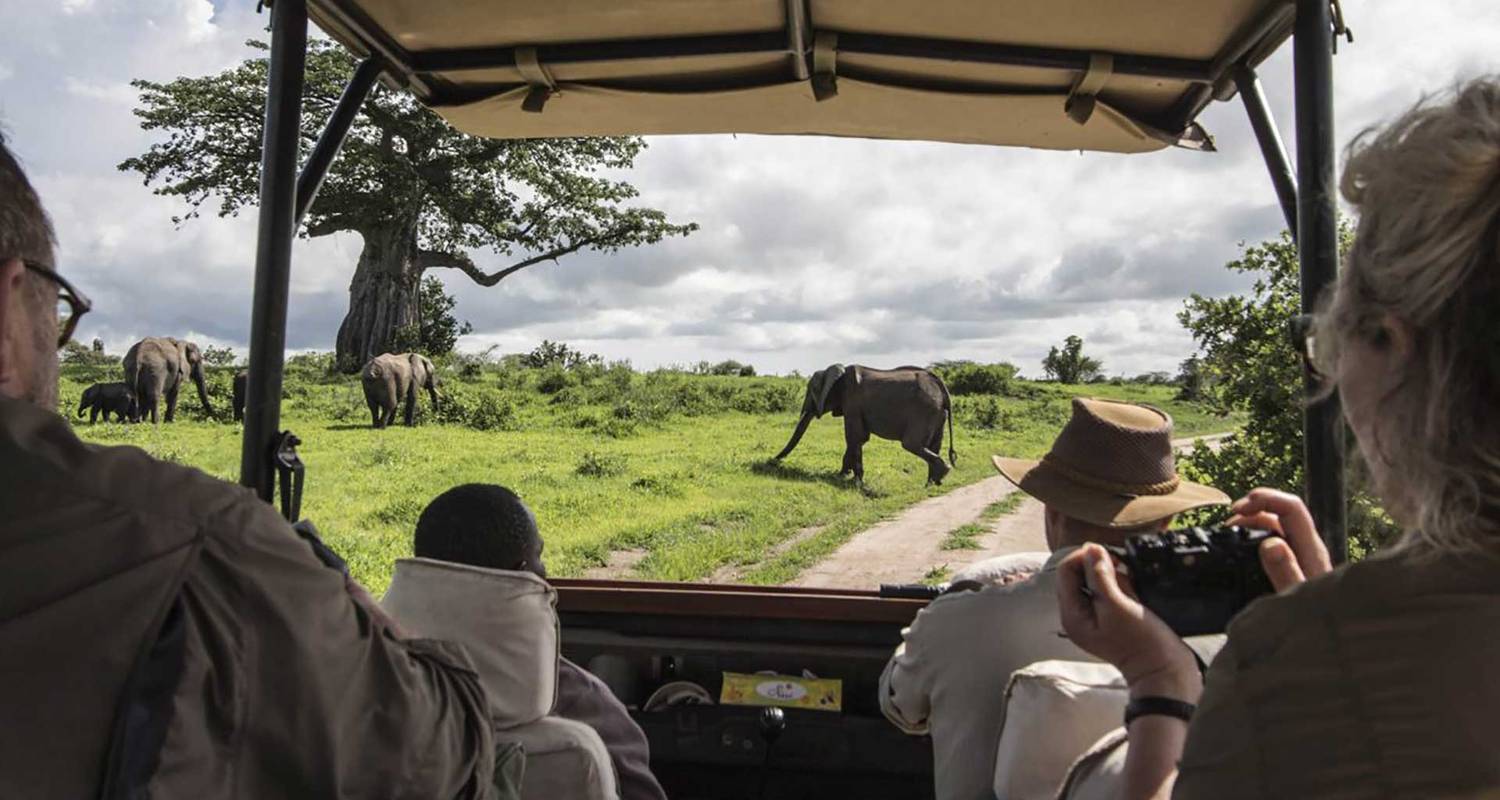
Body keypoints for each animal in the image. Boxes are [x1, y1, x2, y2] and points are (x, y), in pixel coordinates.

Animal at [780, 363, 954, 486]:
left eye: (811, 390)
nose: (775, 462)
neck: (838, 373)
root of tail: (941, 386)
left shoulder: (852, 403)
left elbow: (854, 437)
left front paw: (855, 482)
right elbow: (859, 439)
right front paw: (841, 476)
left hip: (924, 411)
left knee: (911, 444)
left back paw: (943, 473)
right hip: (938, 414)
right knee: (933, 445)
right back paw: (932, 483)